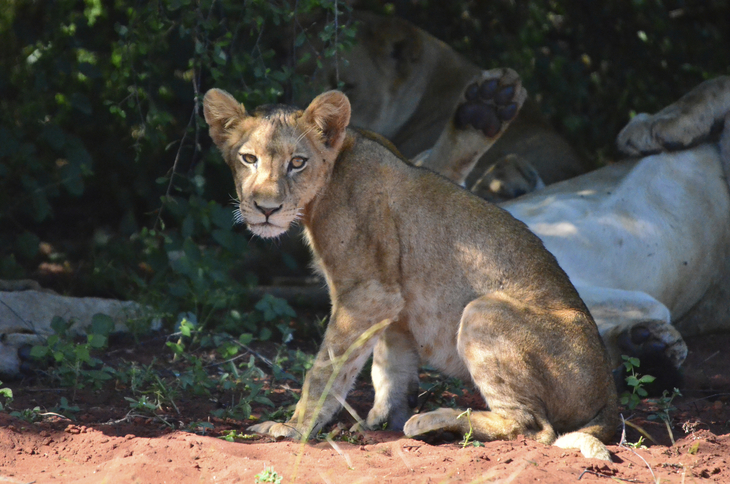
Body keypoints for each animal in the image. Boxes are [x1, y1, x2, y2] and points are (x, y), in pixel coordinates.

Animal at [203, 69, 616, 462]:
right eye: (248, 159)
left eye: (297, 163)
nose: (266, 208)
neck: (332, 175)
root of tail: (609, 396)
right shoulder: (393, 300)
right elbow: (390, 366)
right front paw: (381, 419)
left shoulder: (367, 292)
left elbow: (327, 367)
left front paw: (295, 428)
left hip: (483, 310)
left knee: (533, 427)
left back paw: (432, 423)